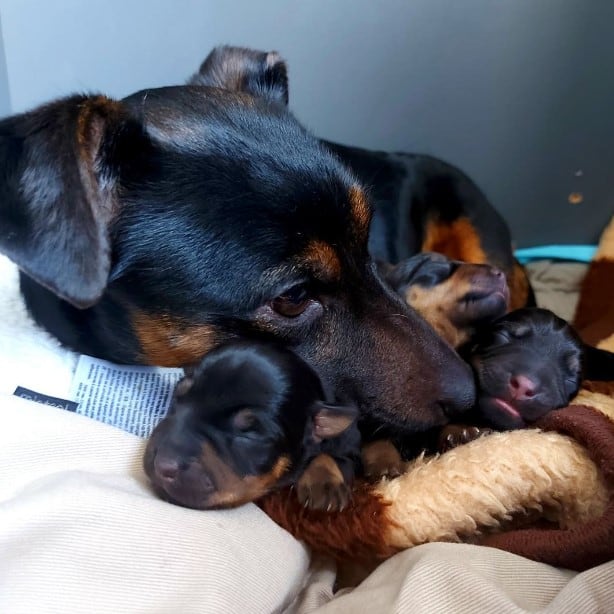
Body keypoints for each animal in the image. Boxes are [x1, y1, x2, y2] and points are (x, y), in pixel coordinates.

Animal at [144, 344, 360, 512]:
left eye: (250, 436)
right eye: (177, 398)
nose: (161, 465)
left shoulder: (349, 454)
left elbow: (327, 456)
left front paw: (325, 482)